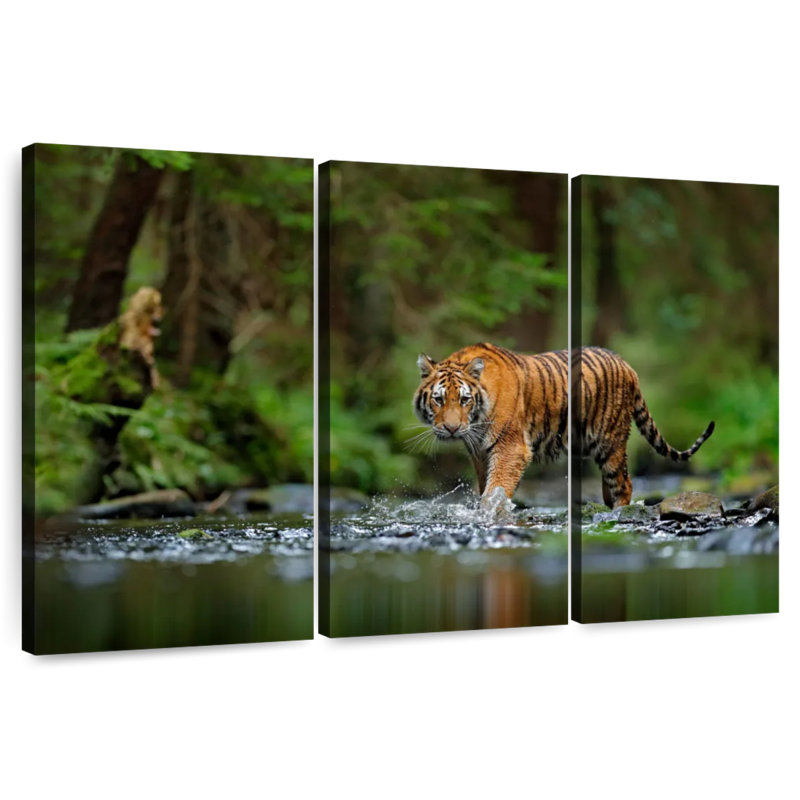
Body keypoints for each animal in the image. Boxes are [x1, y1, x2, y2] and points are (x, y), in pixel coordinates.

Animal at [413, 342, 714, 508]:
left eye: (464, 400)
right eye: (439, 399)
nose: (452, 429)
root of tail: (627, 364)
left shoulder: (511, 447)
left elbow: (495, 489)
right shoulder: (479, 452)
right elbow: (484, 486)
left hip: (610, 441)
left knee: (624, 484)